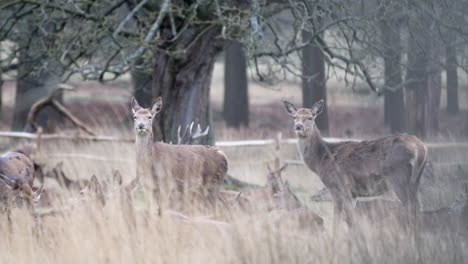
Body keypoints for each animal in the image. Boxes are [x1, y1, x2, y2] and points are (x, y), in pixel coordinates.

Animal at [282, 99, 428, 231]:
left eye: (310, 117)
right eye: (294, 117)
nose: (298, 126)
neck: (322, 160)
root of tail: (421, 148)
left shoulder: (339, 188)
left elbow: (340, 222)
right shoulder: (353, 194)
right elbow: (351, 222)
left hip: (398, 177)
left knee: (411, 206)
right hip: (415, 180)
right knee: (418, 206)